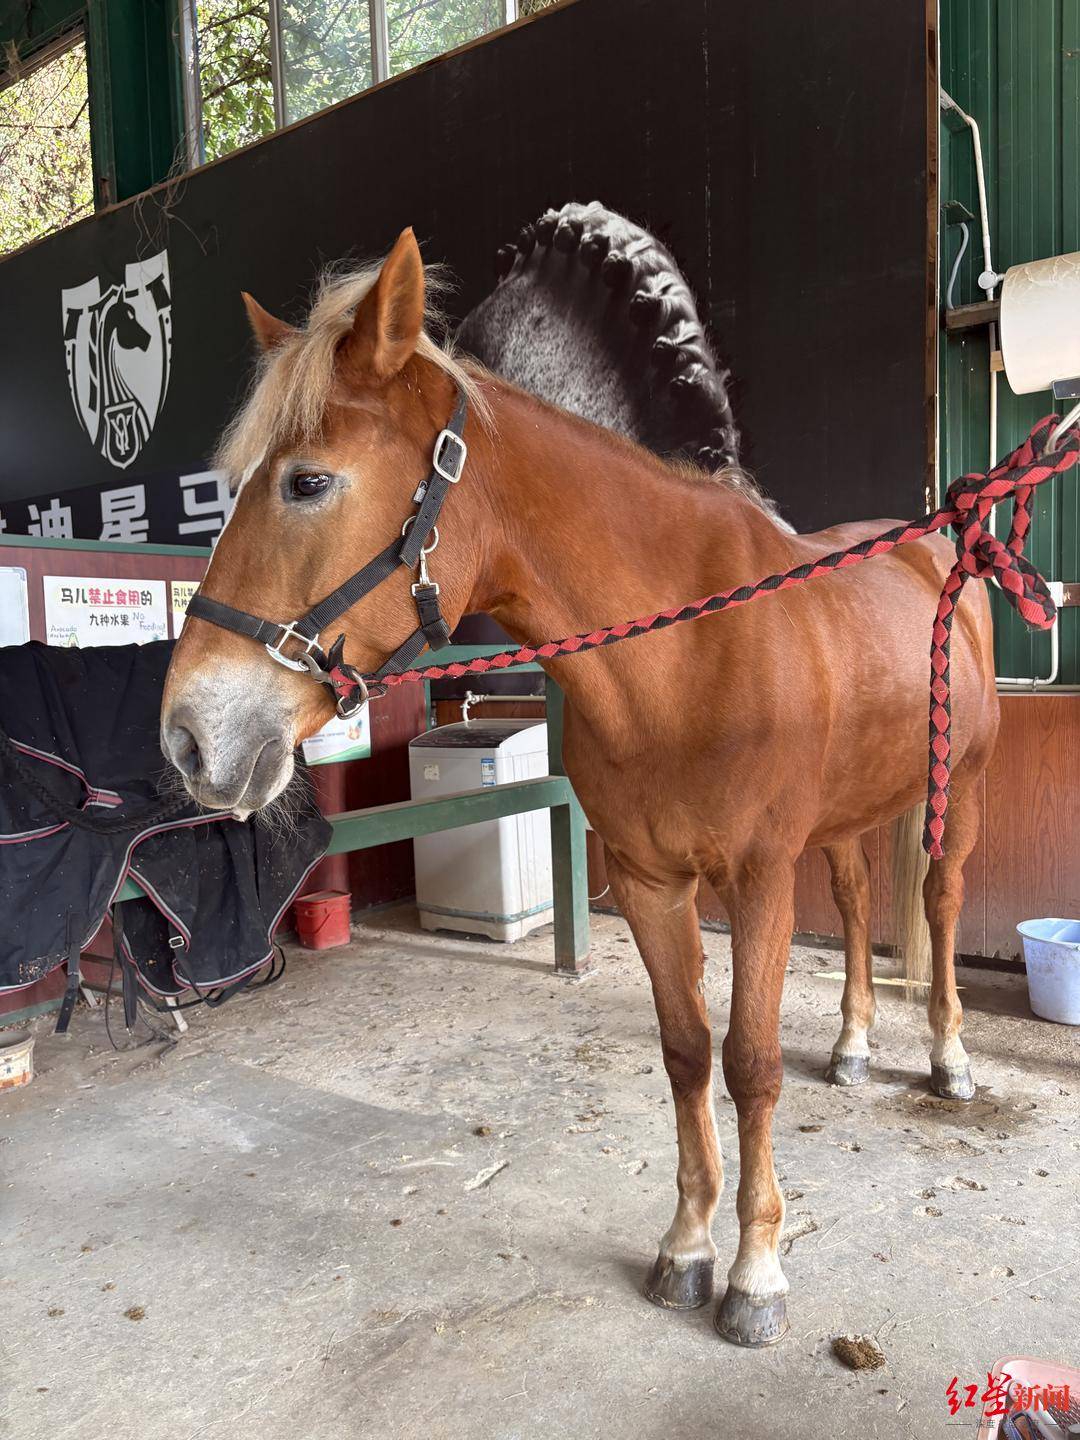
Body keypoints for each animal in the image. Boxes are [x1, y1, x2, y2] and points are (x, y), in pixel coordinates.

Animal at [160, 228, 999, 1347]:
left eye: (306, 483)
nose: (188, 735)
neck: (687, 651)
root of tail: (941, 546)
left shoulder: (759, 881)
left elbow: (750, 1062)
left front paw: (756, 1274)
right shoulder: (650, 883)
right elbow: (687, 1052)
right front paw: (688, 1249)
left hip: (962, 792)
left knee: (941, 907)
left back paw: (948, 1060)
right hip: (846, 813)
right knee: (864, 903)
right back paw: (858, 1043)